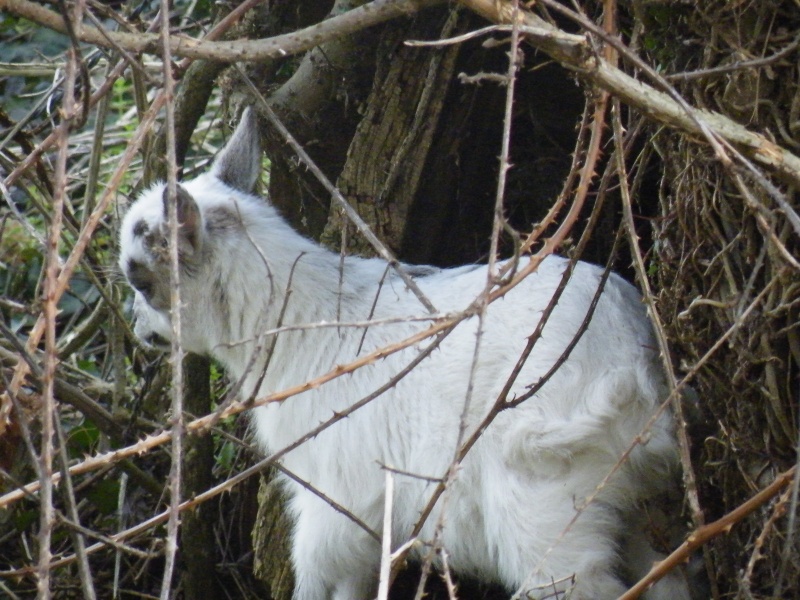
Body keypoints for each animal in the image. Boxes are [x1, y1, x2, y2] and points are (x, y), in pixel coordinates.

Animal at [119, 109, 692, 600]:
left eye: (140, 280)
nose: (136, 325)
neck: (294, 323)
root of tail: (627, 364)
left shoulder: (333, 498)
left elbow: (315, 577)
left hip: (542, 501)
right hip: (648, 505)